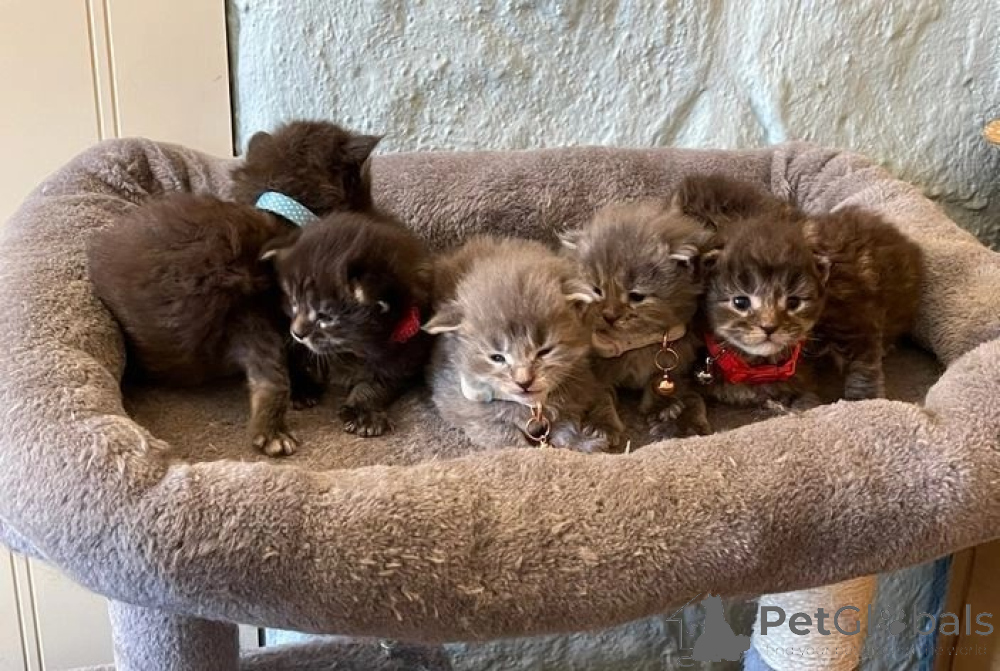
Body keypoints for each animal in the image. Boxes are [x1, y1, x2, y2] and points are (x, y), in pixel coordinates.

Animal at [425, 237, 626, 452]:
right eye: (497, 357)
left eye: (544, 351)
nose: (524, 382)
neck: (533, 407)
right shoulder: (458, 402)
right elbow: (501, 433)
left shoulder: (578, 380)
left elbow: (568, 418)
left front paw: (582, 440)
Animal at [560, 199, 714, 438]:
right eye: (596, 290)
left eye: (636, 296)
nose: (609, 316)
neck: (634, 341)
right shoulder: (593, 366)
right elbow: (599, 396)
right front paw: (600, 425)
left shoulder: (676, 353)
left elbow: (660, 382)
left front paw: (662, 409)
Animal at [691, 175, 923, 406]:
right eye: (740, 302)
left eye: (793, 302)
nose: (769, 327)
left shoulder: (853, 316)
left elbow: (862, 364)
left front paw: (864, 401)